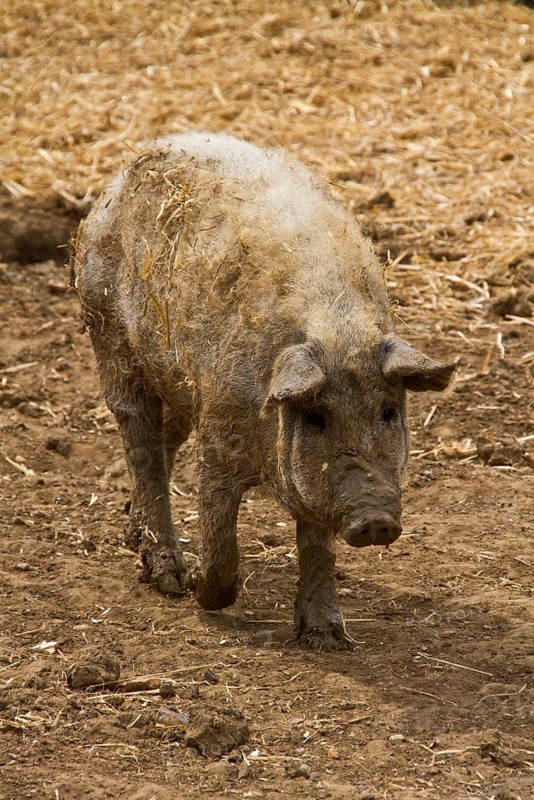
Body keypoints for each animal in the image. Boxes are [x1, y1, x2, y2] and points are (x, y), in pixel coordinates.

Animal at [75, 131, 455, 651]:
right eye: (316, 417)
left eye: (388, 412)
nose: (376, 519)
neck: (337, 333)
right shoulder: (217, 436)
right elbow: (221, 537)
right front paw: (201, 589)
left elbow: (317, 548)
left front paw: (328, 639)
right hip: (110, 334)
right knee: (141, 440)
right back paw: (170, 579)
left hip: (175, 380)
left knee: (165, 437)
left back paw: (135, 532)